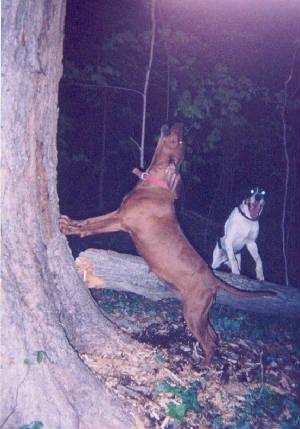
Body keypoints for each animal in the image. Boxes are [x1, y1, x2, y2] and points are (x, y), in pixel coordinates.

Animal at [59, 124, 274, 364]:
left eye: (179, 141)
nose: (181, 126)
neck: (155, 184)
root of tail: (213, 279)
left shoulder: (121, 221)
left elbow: (93, 226)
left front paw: (69, 229)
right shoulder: (118, 212)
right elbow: (90, 220)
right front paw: (70, 221)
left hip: (193, 312)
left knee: (209, 342)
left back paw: (204, 367)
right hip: (200, 312)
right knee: (215, 336)